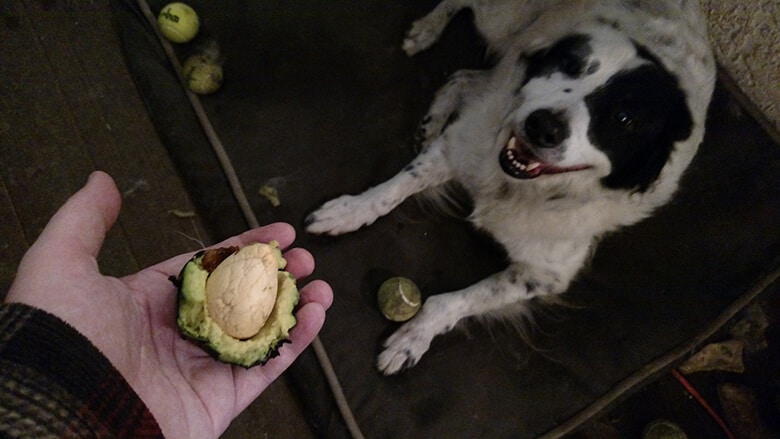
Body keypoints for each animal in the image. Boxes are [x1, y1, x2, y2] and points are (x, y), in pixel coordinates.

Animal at [304, 0, 712, 378]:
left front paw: (413, 337)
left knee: (466, 77)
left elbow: (454, 301)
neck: (514, 187)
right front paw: (349, 211)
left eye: (624, 119)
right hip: (501, 21)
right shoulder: (461, 147)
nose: (542, 126)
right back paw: (425, 33)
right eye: (570, 65)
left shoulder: (544, 275)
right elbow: (393, 187)